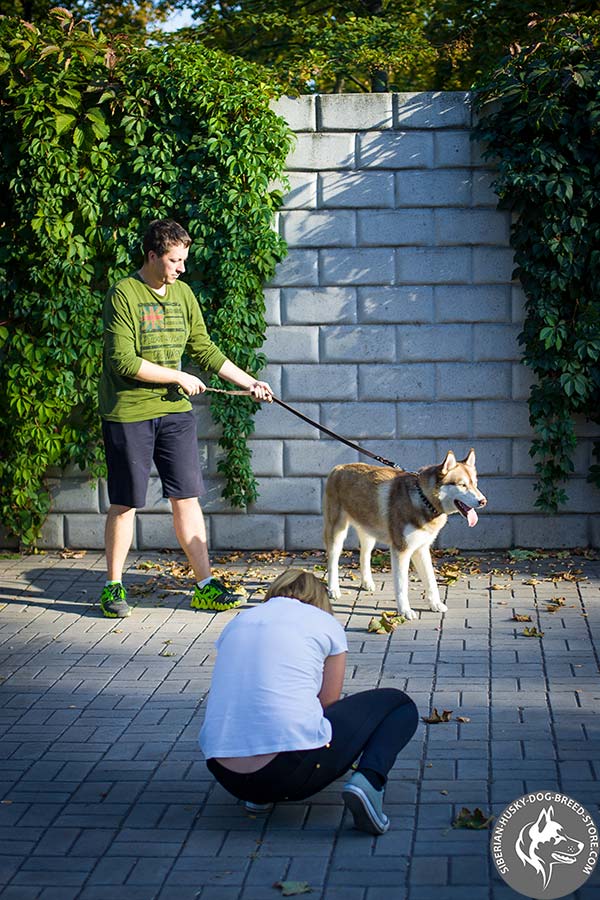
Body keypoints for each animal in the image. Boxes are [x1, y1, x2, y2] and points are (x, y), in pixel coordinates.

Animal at [324, 450, 488, 620]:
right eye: (462, 485)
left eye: (475, 484)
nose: (483, 501)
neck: (424, 499)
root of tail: (339, 467)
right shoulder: (401, 550)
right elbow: (402, 585)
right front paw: (405, 611)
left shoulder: (421, 549)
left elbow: (431, 581)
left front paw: (435, 604)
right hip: (337, 534)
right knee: (332, 562)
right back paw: (333, 589)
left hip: (368, 534)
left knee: (364, 555)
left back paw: (367, 582)